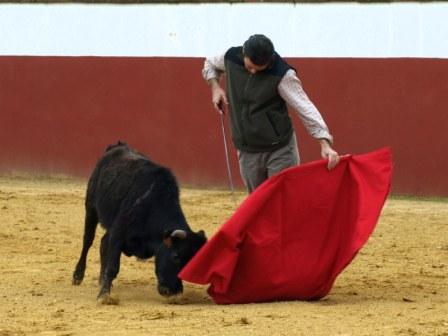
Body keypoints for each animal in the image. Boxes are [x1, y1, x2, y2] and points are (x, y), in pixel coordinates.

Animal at [72, 142, 207, 302]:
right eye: (175, 256)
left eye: (190, 263)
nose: (173, 291)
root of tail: (117, 146)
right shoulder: (118, 233)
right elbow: (113, 267)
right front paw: (103, 296)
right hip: (91, 207)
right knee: (88, 241)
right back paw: (78, 276)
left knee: (103, 242)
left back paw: (101, 280)